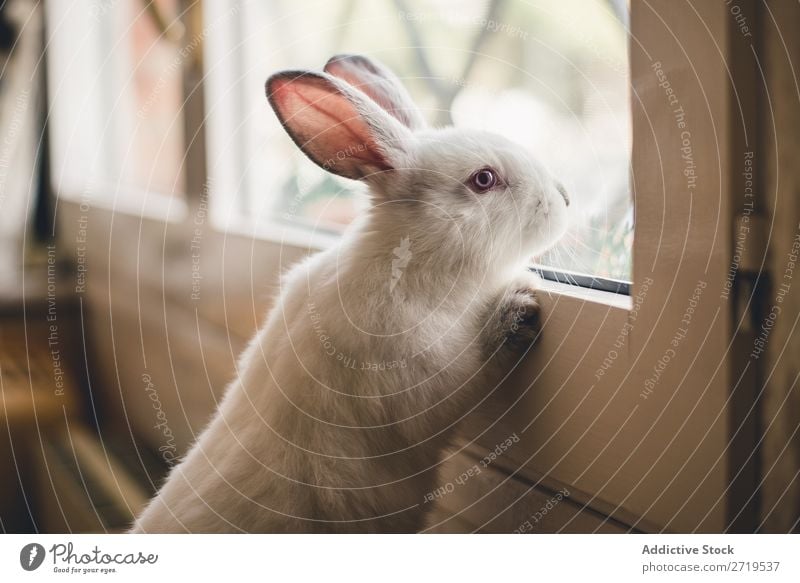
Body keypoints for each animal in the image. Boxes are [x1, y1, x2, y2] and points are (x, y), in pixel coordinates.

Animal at [131, 54, 568, 532]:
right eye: (484, 179)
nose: (563, 199)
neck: (413, 262)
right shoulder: (418, 375)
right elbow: (471, 369)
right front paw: (519, 304)